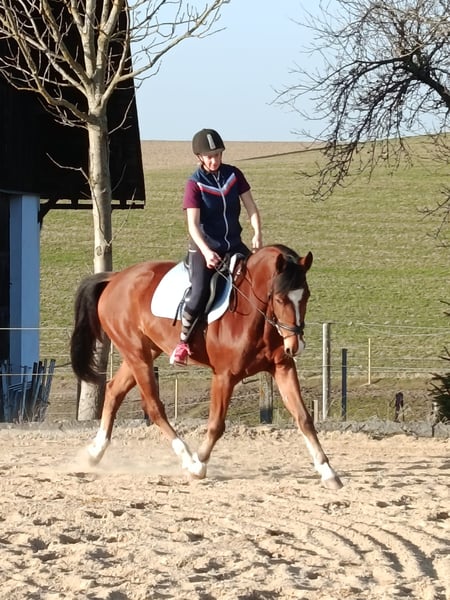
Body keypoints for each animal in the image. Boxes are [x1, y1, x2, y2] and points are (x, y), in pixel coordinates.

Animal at [70, 244, 343, 490]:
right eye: (279, 298)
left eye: (306, 296)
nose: (295, 346)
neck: (255, 315)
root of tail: (116, 278)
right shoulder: (224, 376)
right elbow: (216, 424)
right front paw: (199, 465)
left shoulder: (283, 368)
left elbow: (303, 418)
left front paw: (328, 472)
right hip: (137, 355)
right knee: (154, 407)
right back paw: (186, 458)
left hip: (141, 353)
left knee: (114, 391)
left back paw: (94, 453)